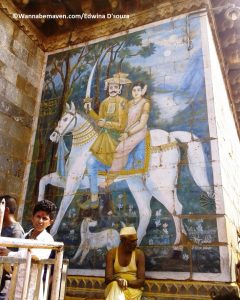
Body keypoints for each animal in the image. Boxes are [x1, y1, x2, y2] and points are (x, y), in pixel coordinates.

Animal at [38, 102, 213, 245]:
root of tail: (170, 136)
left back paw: (177, 244)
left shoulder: (73, 182)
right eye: (61, 118)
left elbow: (63, 205)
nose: (52, 136)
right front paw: (40, 206)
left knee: (174, 207)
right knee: (148, 211)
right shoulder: (67, 179)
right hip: (142, 185)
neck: (85, 148)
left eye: (66, 119)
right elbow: (43, 180)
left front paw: (52, 231)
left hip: (158, 186)